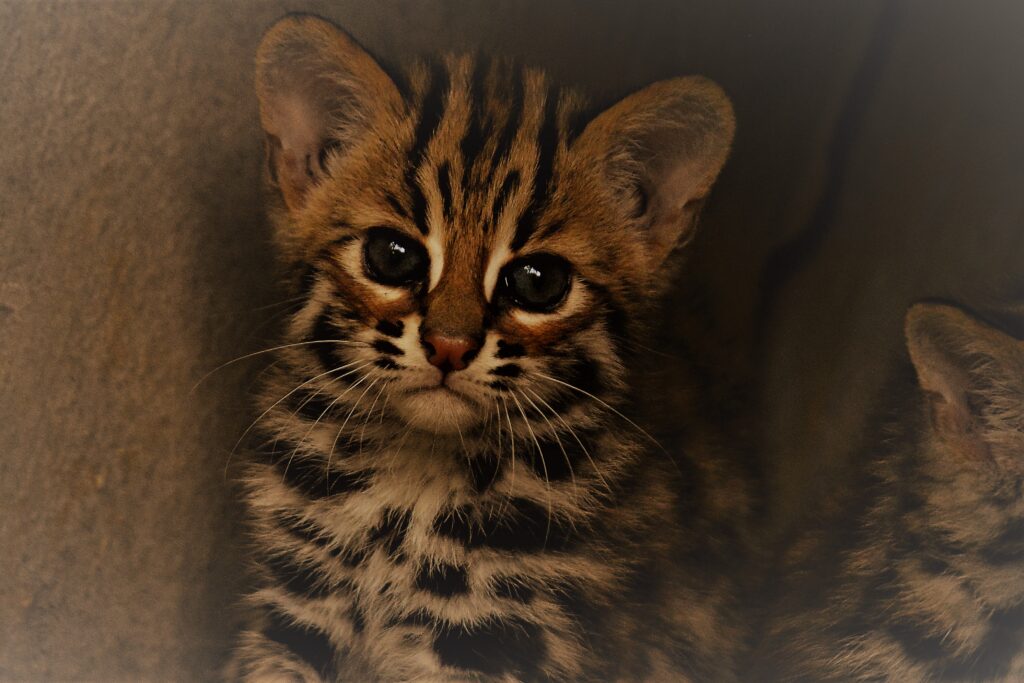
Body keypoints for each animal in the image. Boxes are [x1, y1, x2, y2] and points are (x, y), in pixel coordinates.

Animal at [228, 13, 749, 679]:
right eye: (391, 256)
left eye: (539, 282)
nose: (449, 347)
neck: (412, 479)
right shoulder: (293, 609)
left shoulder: (500, 637)